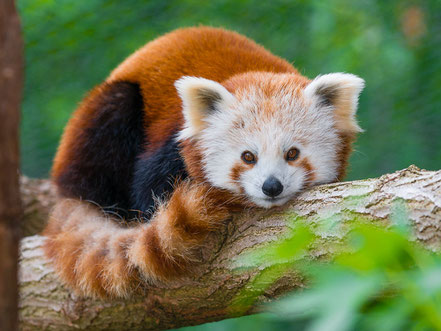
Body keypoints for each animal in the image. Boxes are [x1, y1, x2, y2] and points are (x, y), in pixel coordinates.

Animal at [43, 27, 364, 300]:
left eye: (292, 154)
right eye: (248, 156)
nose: (271, 187)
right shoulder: (169, 139)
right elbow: (149, 186)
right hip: (101, 124)